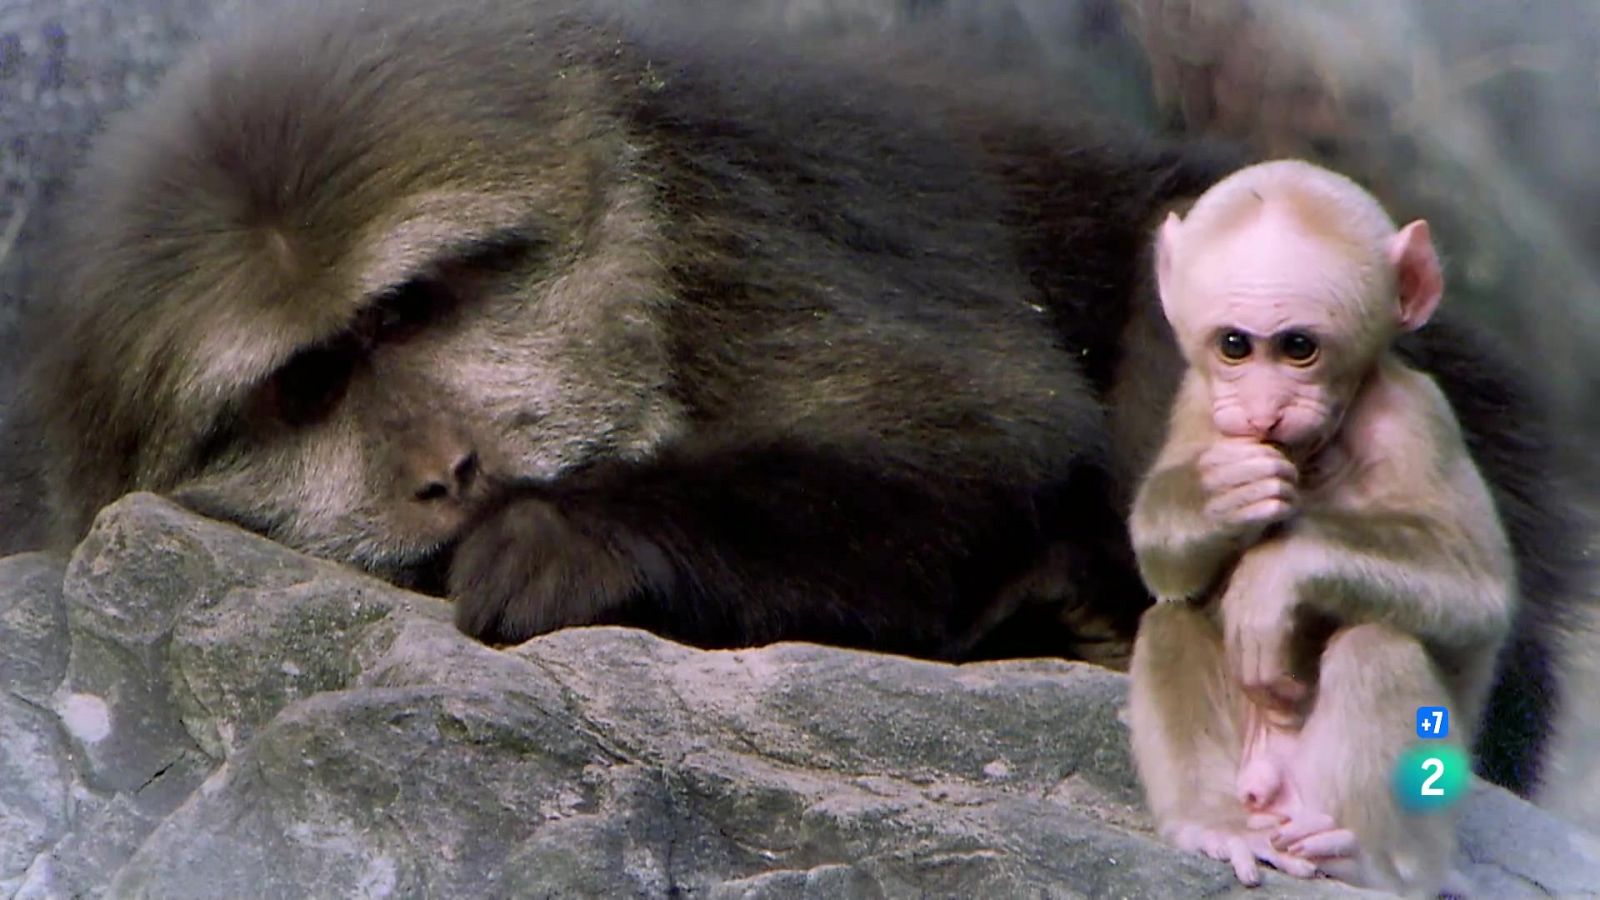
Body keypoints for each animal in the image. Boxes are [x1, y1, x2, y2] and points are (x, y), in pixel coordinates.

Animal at [1126, 159, 1510, 890]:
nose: (1263, 412)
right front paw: (1221, 497)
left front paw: (1276, 574)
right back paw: (1216, 824)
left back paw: (1372, 861)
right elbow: (1162, 567)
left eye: (1299, 347)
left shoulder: (1416, 418)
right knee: (1171, 620)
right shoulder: (1201, 401)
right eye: (1234, 345)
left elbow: (1481, 591)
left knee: (1377, 648)